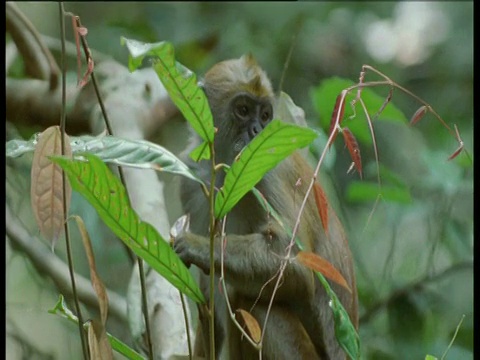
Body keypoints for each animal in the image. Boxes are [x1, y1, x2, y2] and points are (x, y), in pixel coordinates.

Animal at [172, 54, 356, 360]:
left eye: (265, 115)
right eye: (243, 110)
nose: (258, 131)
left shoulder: (267, 170)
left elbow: (296, 266)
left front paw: (194, 245)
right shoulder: (190, 180)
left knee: (249, 300)